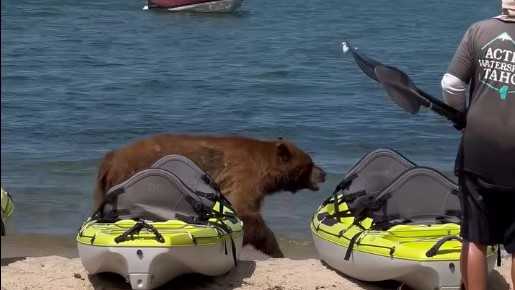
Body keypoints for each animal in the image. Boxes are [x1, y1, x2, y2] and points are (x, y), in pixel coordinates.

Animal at [93, 133, 326, 258]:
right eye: (310, 163)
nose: (323, 173)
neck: (266, 169)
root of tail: (110, 158)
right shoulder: (243, 175)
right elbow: (244, 211)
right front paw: (276, 250)